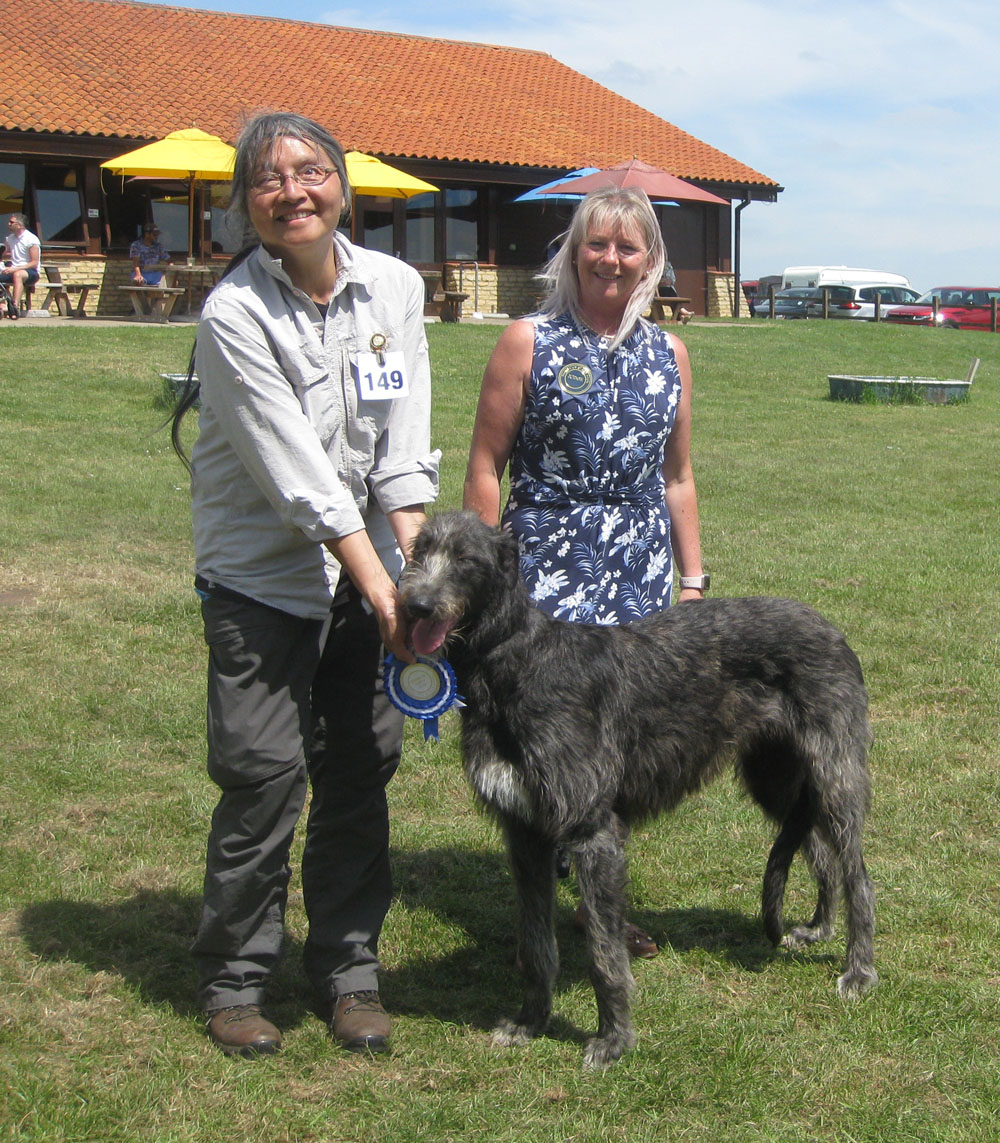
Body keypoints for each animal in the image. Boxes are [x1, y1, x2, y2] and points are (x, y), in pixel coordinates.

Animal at [400, 514, 877, 1065]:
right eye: (419, 551)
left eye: (466, 560)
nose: (415, 605)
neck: (516, 663)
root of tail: (827, 625)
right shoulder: (524, 833)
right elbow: (537, 945)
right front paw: (530, 1022)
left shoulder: (592, 832)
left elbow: (605, 955)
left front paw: (613, 1039)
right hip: (775, 777)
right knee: (820, 849)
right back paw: (819, 928)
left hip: (834, 770)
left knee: (857, 872)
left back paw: (859, 971)